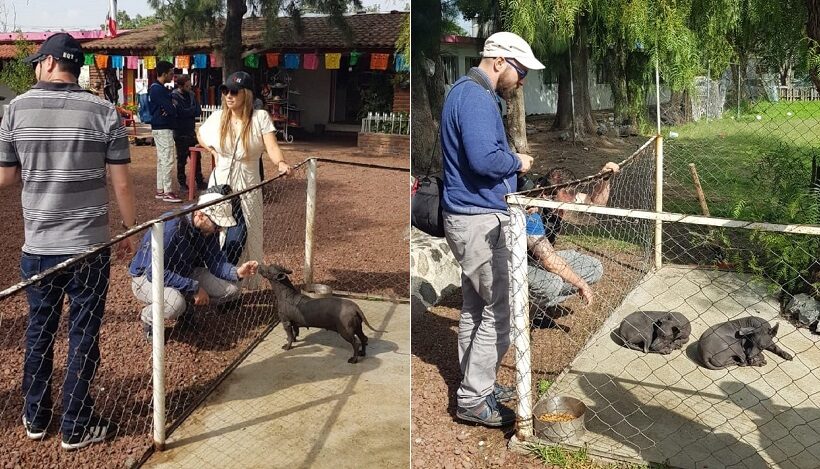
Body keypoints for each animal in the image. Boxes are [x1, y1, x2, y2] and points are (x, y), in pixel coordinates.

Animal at [258, 264, 386, 362]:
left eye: (268, 269)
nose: (259, 265)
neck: (286, 294)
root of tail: (355, 307)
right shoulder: (293, 323)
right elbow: (294, 334)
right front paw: (294, 340)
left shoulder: (286, 322)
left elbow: (289, 336)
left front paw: (288, 347)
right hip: (357, 327)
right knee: (364, 339)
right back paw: (362, 353)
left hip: (346, 331)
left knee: (356, 343)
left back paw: (354, 359)